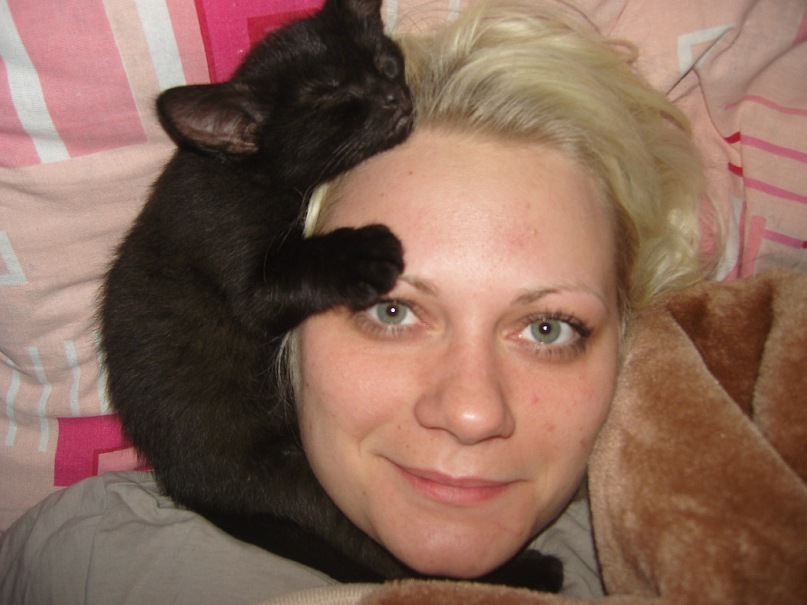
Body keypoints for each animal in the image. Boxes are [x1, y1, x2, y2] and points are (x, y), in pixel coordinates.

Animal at [100, 0, 563, 592]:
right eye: (327, 98)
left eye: (384, 64)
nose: (389, 96)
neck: (250, 175)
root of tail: (184, 482)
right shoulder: (224, 234)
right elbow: (288, 274)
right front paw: (367, 251)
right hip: (294, 472)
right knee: (381, 551)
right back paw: (531, 571)